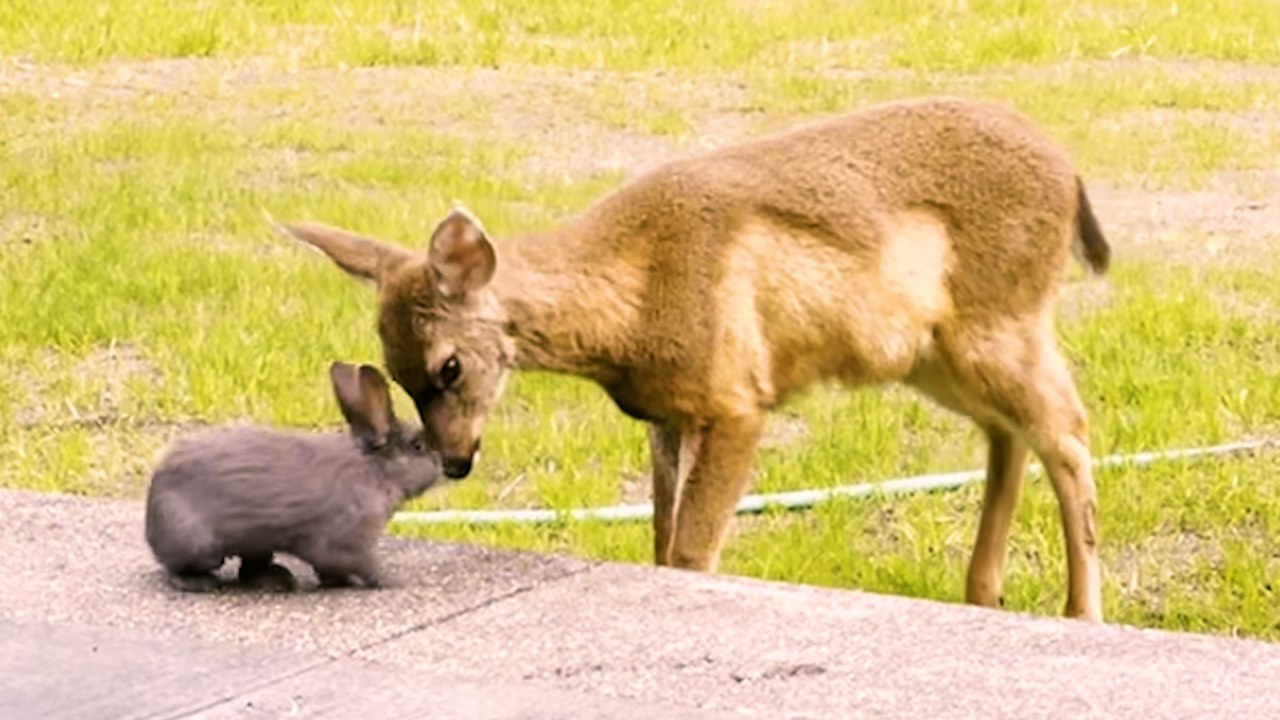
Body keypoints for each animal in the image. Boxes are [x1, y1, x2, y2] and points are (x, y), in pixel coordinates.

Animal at [144, 361, 443, 593]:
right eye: (418, 446)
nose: (446, 464)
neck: (376, 471)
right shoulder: (348, 542)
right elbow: (365, 565)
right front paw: (393, 580)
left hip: (258, 544)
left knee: (250, 569)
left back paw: (278, 580)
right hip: (199, 545)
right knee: (176, 569)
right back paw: (201, 583)